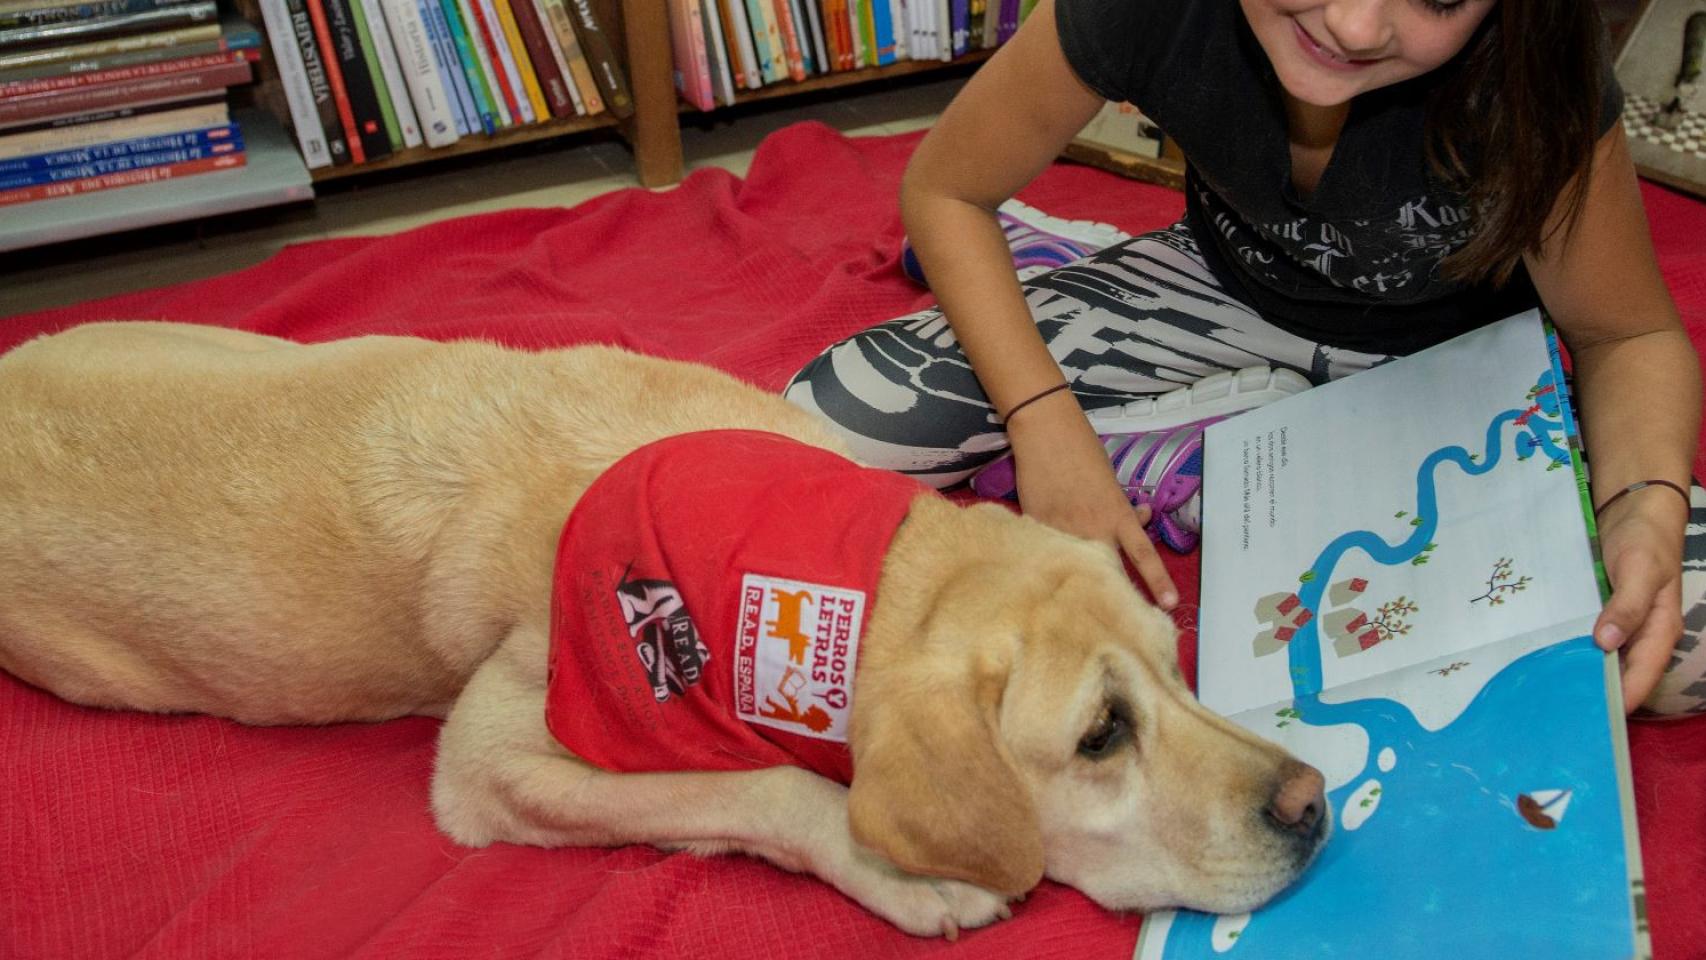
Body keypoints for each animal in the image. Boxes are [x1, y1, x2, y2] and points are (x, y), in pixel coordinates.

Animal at [0, 322, 1323, 941]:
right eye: (1099, 734)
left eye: (1174, 666)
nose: (1311, 804)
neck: (855, 572)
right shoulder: (494, 760)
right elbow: (771, 787)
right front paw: (901, 871)